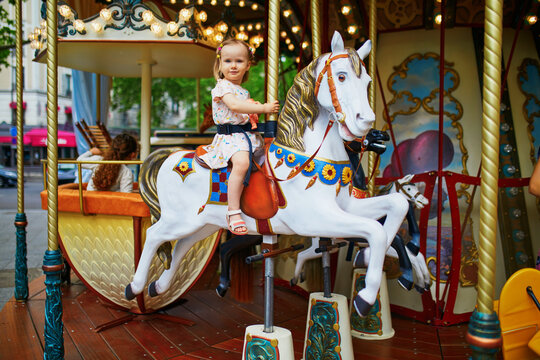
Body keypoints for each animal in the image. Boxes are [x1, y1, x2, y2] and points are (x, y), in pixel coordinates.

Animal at [124, 32, 408, 316]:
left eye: (368, 81)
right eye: (341, 76)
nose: (365, 122)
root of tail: (173, 155)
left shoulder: (346, 206)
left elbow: (397, 206)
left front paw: (367, 257)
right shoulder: (313, 219)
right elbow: (375, 230)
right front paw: (365, 297)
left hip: (203, 223)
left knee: (182, 244)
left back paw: (157, 287)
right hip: (178, 218)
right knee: (154, 235)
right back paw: (134, 287)